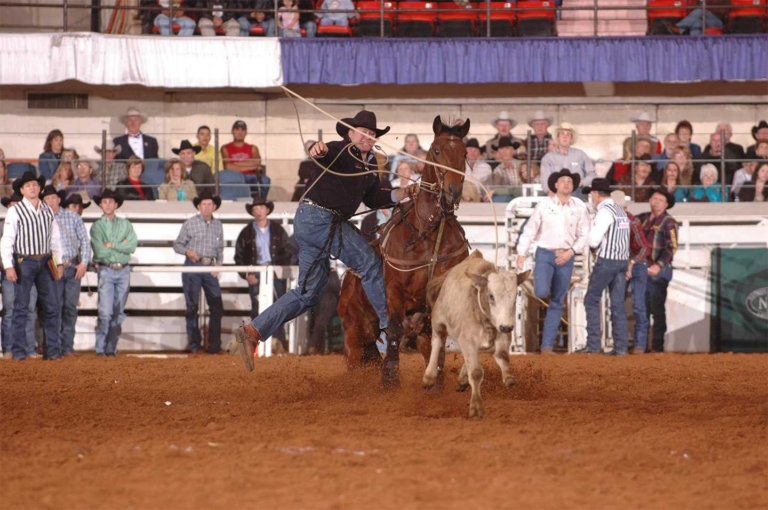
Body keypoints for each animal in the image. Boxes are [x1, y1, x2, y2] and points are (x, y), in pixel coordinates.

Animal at [340, 114, 472, 386]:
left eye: (464, 153)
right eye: (436, 150)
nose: (453, 191)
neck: (428, 233)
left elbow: (434, 337)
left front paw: (435, 378)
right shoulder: (394, 293)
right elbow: (395, 329)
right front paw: (390, 377)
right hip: (354, 336)